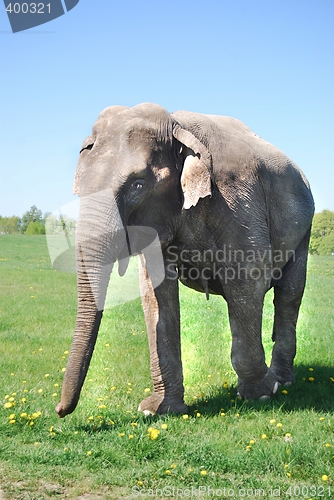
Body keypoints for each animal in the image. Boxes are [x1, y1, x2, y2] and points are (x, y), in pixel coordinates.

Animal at [54, 101, 314, 418]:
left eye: (138, 185)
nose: (59, 410)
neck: (178, 129)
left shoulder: (239, 199)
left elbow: (246, 281)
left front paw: (262, 394)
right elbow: (156, 293)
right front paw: (158, 410)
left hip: (304, 229)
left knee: (289, 294)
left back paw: (283, 381)